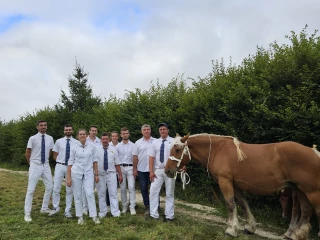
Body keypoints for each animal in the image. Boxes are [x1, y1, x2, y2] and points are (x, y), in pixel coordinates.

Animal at [165, 134, 320, 239]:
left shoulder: (225, 181)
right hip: (300, 190)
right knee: (305, 211)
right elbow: (244, 204)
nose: (167, 171)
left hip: (311, 192)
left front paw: (231, 230)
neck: (217, 149)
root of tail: (314, 152)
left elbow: (230, 204)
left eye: (177, 149)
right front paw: (250, 227)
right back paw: (295, 234)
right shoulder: (236, 185)